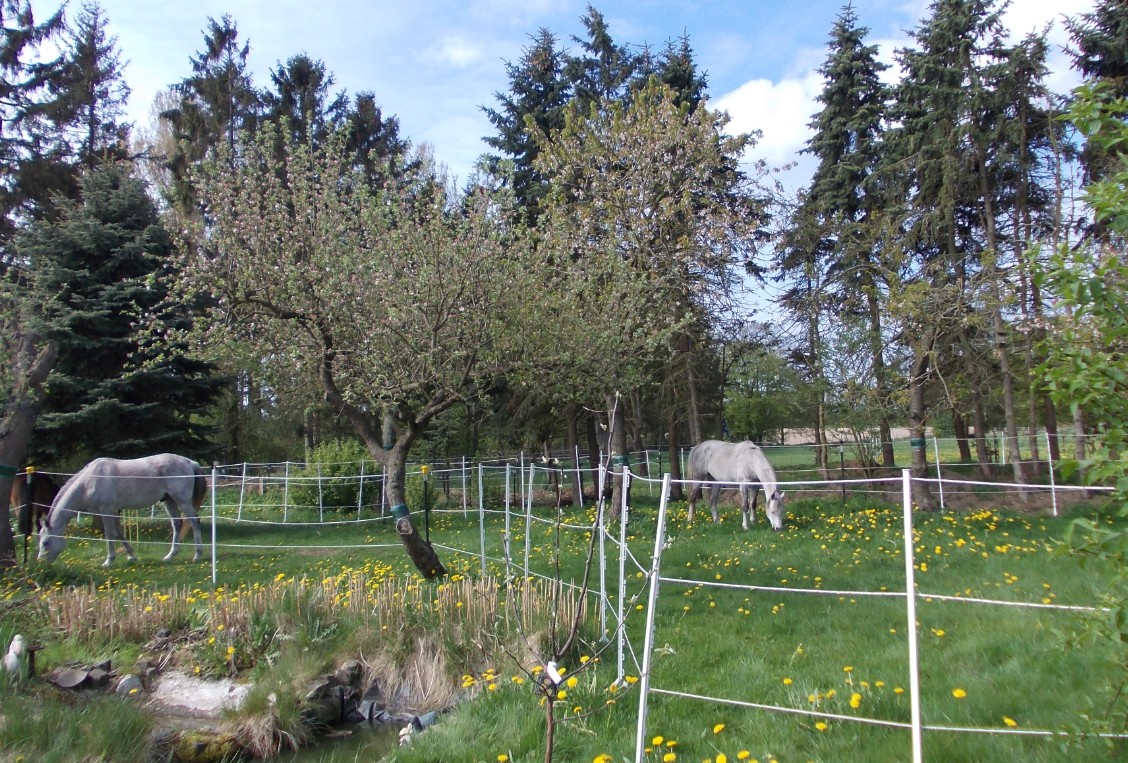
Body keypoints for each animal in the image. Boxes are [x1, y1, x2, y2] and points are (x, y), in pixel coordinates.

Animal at [39, 453, 209, 566]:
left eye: (45, 542)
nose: (41, 563)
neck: (90, 482)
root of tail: (188, 461)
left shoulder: (106, 510)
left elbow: (109, 534)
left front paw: (109, 561)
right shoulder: (112, 511)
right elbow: (119, 532)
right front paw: (131, 556)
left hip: (182, 500)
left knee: (194, 521)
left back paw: (197, 555)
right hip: (169, 501)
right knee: (177, 524)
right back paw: (170, 556)